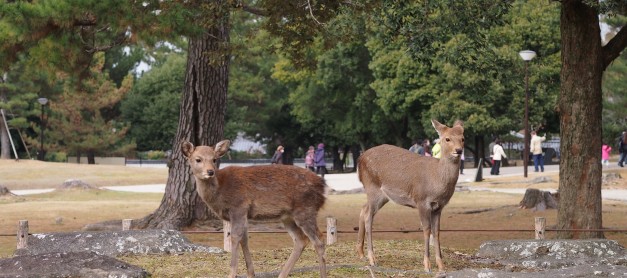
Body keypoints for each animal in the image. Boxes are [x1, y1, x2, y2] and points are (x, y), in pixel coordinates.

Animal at [182, 140, 328, 276]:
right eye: (198, 159)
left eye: (214, 159)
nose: (210, 171)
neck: (219, 193)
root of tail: (323, 185)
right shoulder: (243, 215)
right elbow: (244, 240)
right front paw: (250, 273)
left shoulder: (239, 207)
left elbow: (235, 237)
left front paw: (232, 274)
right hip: (288, 217)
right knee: (301, 240)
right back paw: (282, 274)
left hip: (306, 210)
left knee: (319, 240)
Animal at [356, 118, 464, 272]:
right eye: (447, 138)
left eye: (463, 138)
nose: (459, 150)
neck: (436, 180)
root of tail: (360, 159)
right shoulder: (422, 201)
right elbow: (426, 230)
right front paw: (427, 266)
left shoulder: (439, 207)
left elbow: (437, 232)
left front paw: (441, 266)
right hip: (372, 187)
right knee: (368, 217)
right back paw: (372, 259)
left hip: (382, 196)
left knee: (364, 209)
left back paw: (361, 253)